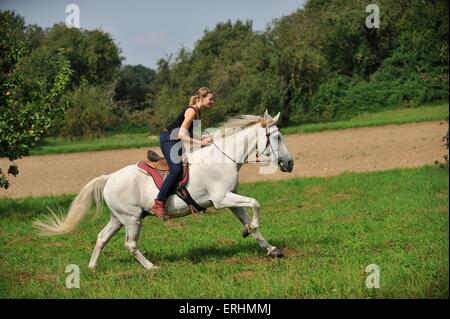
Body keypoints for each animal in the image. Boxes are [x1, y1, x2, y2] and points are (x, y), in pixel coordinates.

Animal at [34, 111, 296, 272]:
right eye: (277, 137)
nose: (290, 163)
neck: (224, 158)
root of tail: (109, 179)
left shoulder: (229, 201)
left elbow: (250, 219)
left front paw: (270, 248)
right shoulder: (222, 199)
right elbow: (255, 203)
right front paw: (252, 231)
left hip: (118, 218)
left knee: (101, 238)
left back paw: (92, 268)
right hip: (132, 219)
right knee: (130, 245)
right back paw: (151, 267)